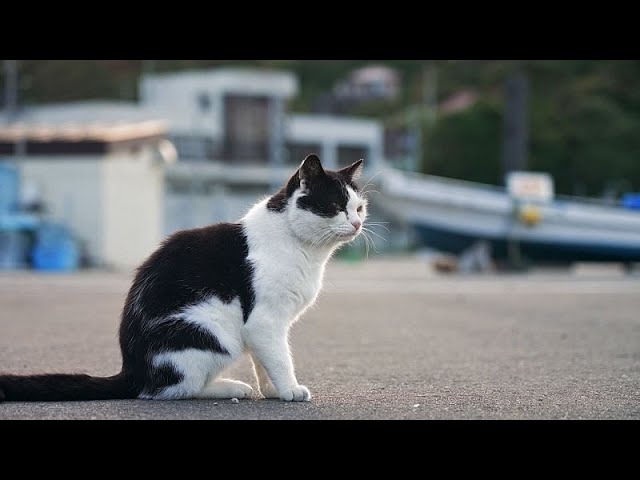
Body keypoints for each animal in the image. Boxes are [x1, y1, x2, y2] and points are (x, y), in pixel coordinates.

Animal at [0, 154, 368, 402]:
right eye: (336, 206)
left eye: (359, 207)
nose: (357, 223)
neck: (301, 246)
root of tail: (132, 371)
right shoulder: (263, 322)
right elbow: (279, 357)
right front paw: (290, 389)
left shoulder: (267, 329)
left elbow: (265, 360)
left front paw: (273, 391)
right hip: (214, 331)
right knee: (174, 389)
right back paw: (229, 388)